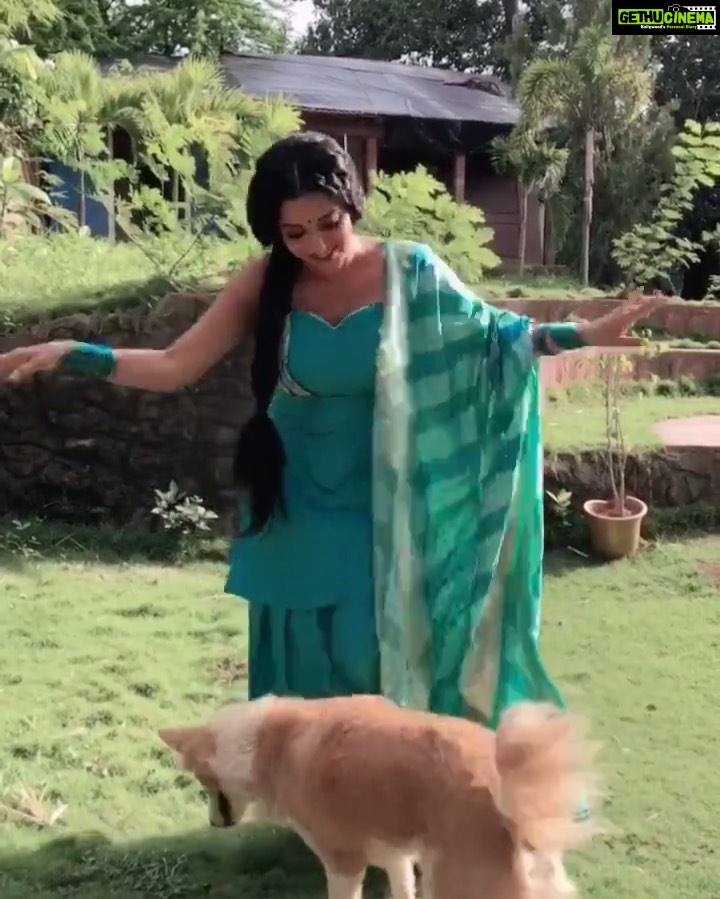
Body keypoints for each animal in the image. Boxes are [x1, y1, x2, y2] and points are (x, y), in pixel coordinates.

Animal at [158, 695, 600, 899]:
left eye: (200, 780)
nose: (213, 822)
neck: (271, 742)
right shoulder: (396, 856)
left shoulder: (343, 865)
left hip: (457, 884)